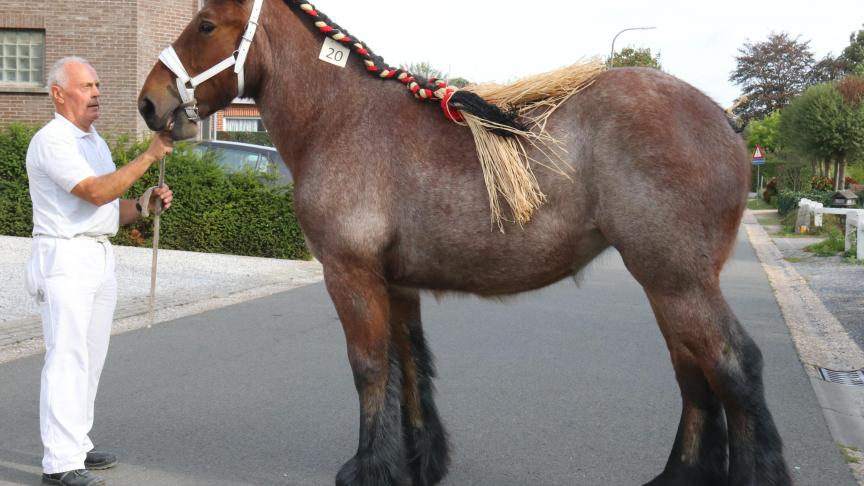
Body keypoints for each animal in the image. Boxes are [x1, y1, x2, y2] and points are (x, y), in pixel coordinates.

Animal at [138, 0, 792, 486]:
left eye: (204, 24)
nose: (150, 102)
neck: (341, 118)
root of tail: (725, 121)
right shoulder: (395, 283)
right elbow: (409, 366)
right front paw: (416, 464)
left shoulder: (349, 274)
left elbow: (369, 366)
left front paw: (367, 469)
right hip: (669, 284)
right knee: (694, 373)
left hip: (676, 280)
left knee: (734, 366)